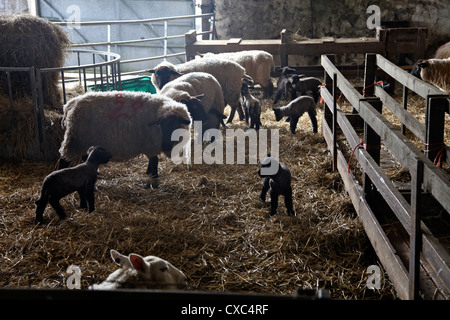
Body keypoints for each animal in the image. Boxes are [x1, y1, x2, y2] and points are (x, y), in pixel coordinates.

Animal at [58, 90, 192, 188]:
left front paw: (148, 173)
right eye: (162, 126)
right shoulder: (150, 145)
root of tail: (69, 104)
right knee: (63, 160)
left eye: (176, 127)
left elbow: (152, 162)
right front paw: (154, 182)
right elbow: (154, 162)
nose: (165, 146)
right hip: (75, 141)